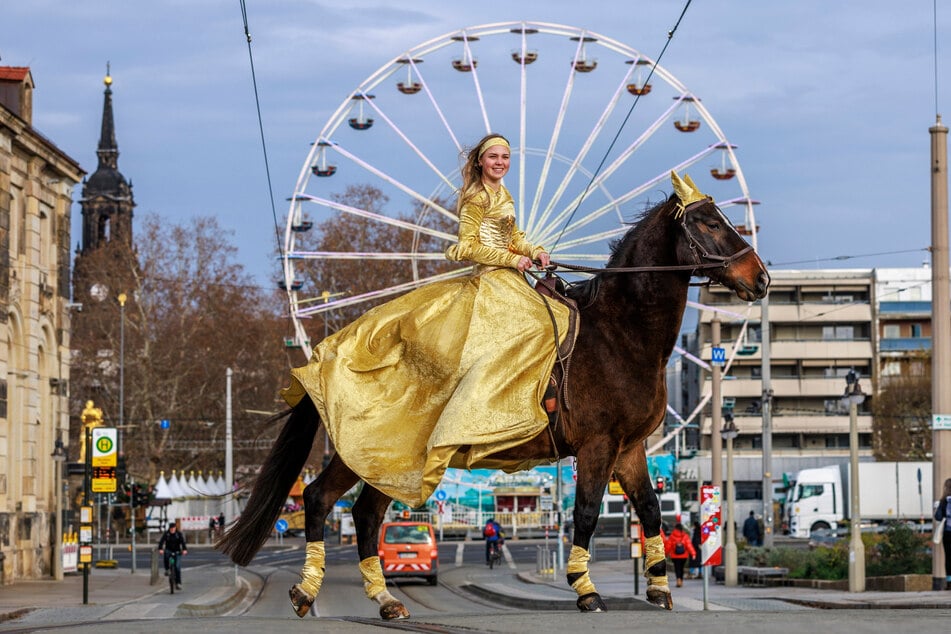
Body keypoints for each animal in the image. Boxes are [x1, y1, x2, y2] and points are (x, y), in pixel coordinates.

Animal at [219, 174, 768, 616]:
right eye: (710, 223)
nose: (760, 278)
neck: (619, 334)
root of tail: (329, 348)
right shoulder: (597, 445)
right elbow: (587, 513)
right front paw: (586, 589)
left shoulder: (629, 447)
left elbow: (651, 510)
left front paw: (656, 587)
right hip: (372, 448)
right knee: (319, 498)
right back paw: (308, 591)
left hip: (391, 458)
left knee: (365, 513)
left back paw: (385, 599)